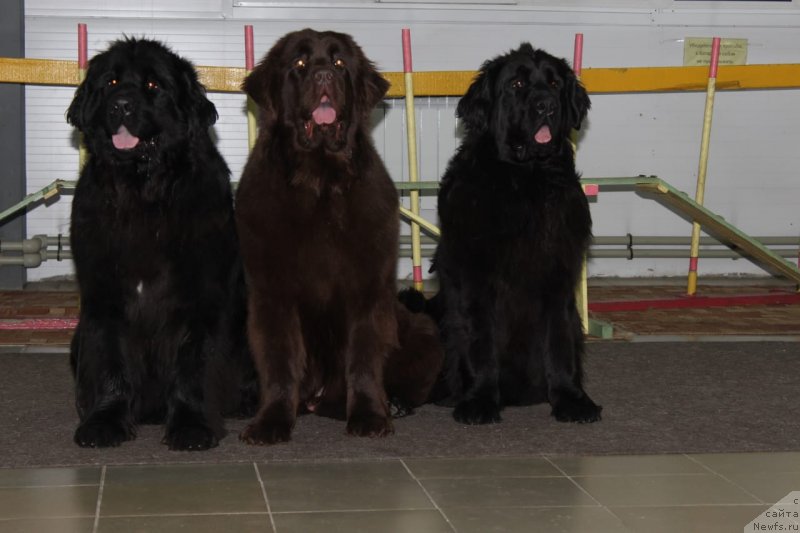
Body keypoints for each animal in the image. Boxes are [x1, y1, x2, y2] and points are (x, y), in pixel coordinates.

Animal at [67, 37, 253, 448]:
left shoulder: (202, 295)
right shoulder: (104, 295)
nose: (121, 104)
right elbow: (110, 360)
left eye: (153, 85)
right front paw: (104, 422)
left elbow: (194, 362)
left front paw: (192, 426)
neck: (144, 195)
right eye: (110, 82)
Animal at [234, 29, 446, 444]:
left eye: (339, 63)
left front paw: (369, 416)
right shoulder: (272, 292)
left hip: (423, 333)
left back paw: (392, 404)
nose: (323, 76)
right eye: (299, 64)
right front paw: (271, 422)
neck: (319, 180)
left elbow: (362, 356)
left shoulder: (367, 287)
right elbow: (280, 360)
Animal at [428, 42, 604, 424]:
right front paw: (480, 400)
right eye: (517, 85)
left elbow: (560, 343)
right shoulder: (477, 279)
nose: (547, 106)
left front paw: (570, 399)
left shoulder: (557, 276)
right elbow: (480, 342)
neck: (526, 183)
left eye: (554, 84)